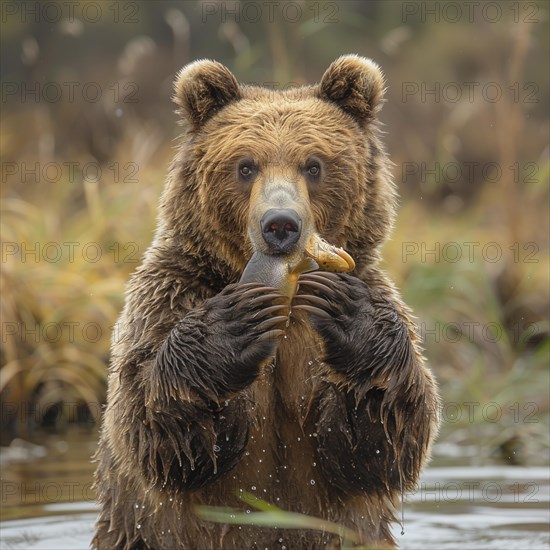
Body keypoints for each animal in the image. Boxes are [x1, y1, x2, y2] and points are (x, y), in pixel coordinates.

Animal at [92, 56, 442, 550]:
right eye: (245, 166)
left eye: (313, 165)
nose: (280, 224)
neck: (290, 294)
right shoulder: (171, 293)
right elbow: (154, 425)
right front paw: (233, 326)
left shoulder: (351, 310)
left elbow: (383, 442)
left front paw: (350, 315)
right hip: (136, 533)